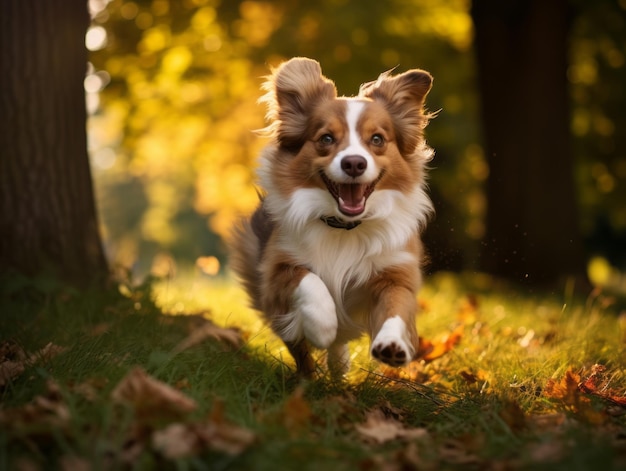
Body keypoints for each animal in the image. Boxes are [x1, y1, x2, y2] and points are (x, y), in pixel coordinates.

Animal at [230, 57, 434, 378]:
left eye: (377, 139)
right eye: (326, 138)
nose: (354, 163)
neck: (344, 227)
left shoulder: (396, 272)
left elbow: (396, 307)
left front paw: (392, 345)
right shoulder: (276, 271)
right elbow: (310, 280)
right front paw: (323, 327)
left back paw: (339, 367)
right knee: (299, 348)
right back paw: (309, 377)